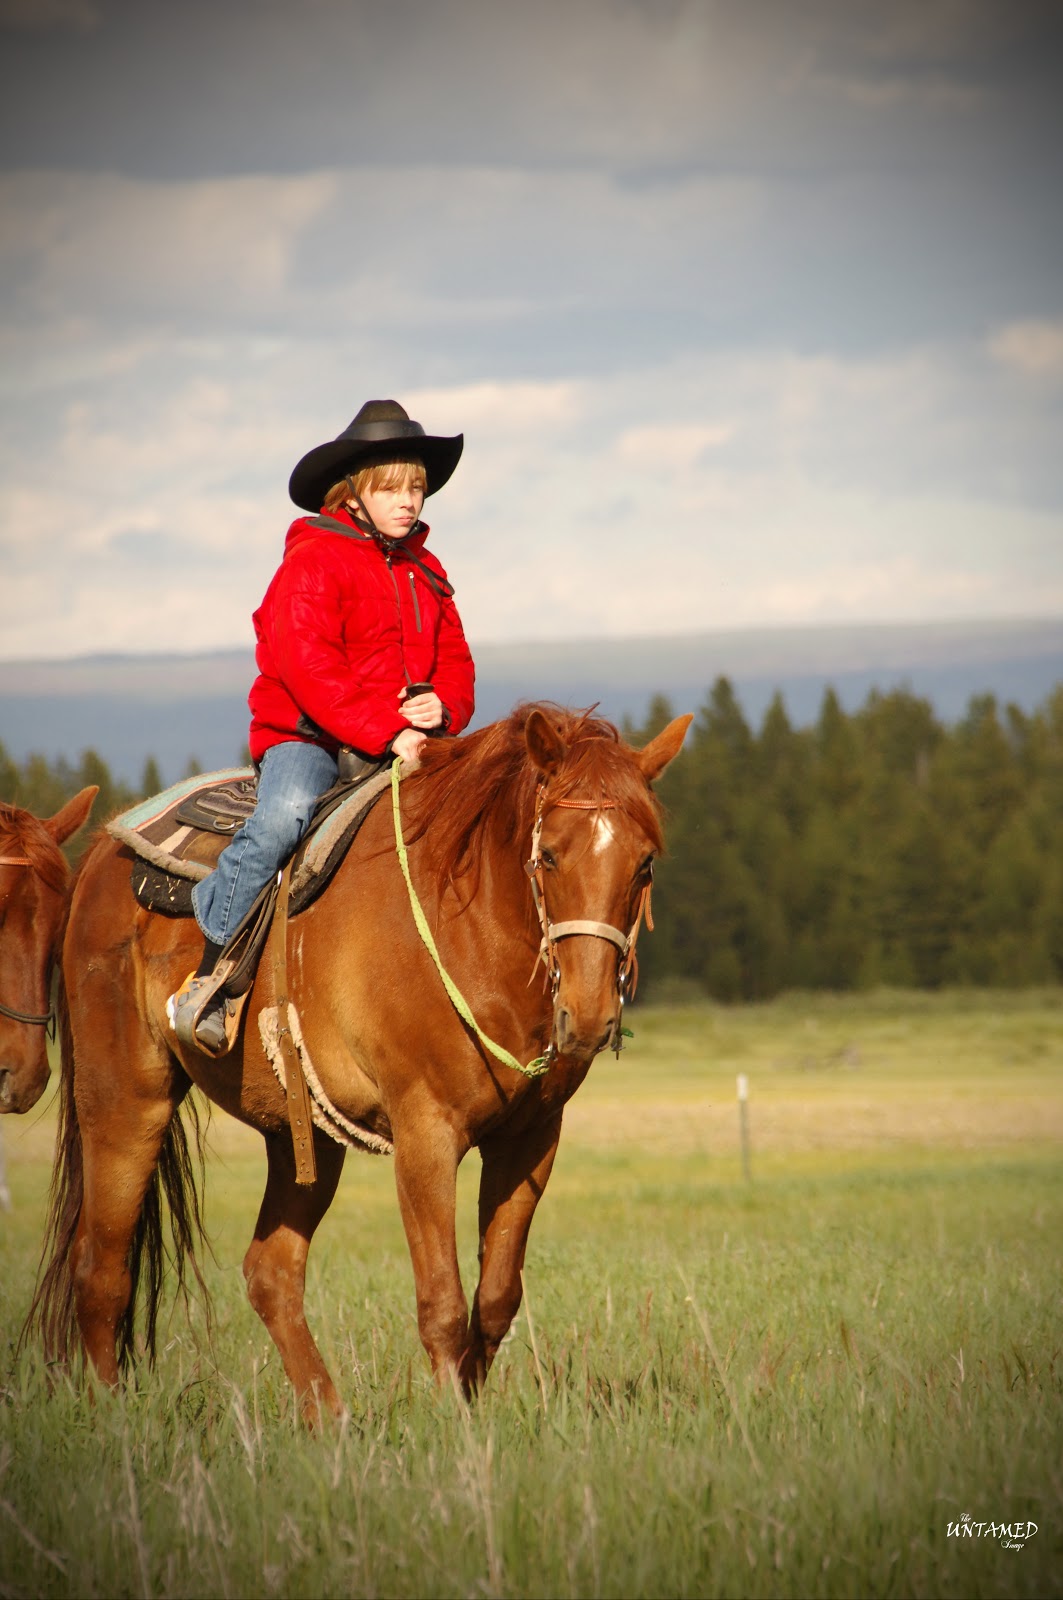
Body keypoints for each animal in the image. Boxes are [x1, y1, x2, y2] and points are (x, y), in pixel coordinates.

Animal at [28, 705, 690, 1422]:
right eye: (549, 854)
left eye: (643, 864)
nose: (588, 1017)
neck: (471, 923)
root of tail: (101, 852)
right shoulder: (426, 1135)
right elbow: (442, 1305)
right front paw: (456, 1427)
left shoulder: (531, 1141)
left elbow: (495, 1299)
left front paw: (473, 1405)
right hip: (125, 1101)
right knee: (101, 1268)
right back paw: (115, 1414)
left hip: (302, 1134)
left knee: (271, 1273)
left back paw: (330, 1420)